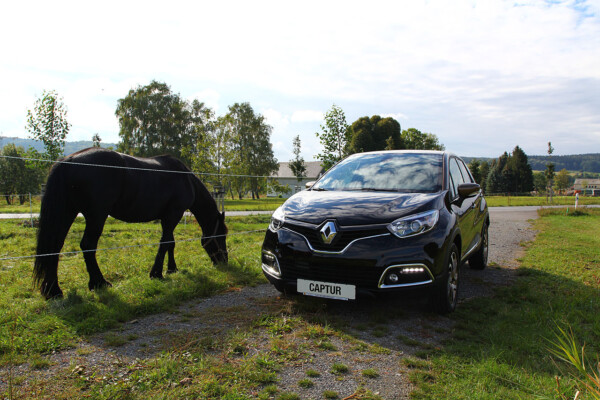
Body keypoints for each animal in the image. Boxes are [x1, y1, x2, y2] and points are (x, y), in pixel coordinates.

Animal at [33, 148, 230, 298]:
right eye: (222, 235)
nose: (224, 261)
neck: (185, 178)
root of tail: (68, 161)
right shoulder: (173, 215)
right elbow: (165, 243)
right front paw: (156, 273)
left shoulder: (168, 217)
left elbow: (170, 243)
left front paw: (172, 269)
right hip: (96, 216)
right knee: (87, 245)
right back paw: (99, 283)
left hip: (67, 213)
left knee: (54, 247)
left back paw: (53, 291)